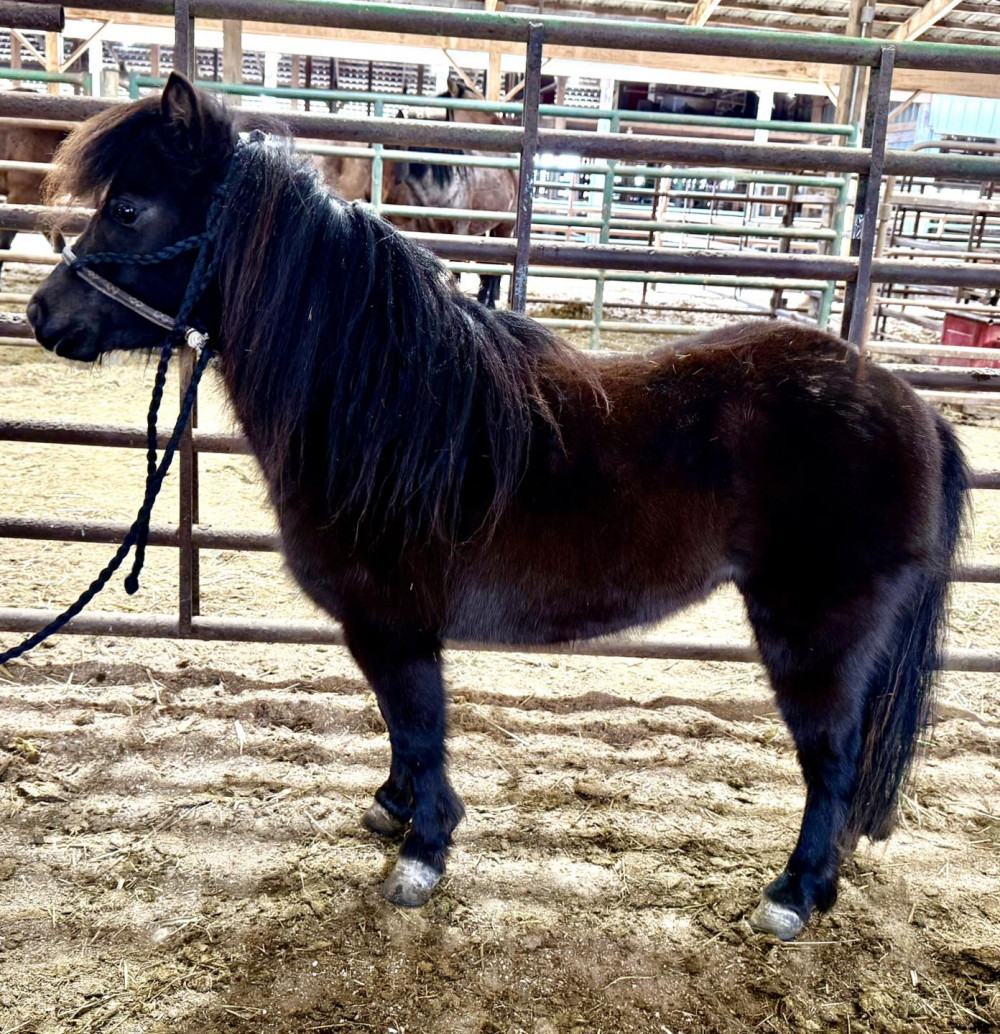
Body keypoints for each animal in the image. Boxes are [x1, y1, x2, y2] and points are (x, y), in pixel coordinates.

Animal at [25, 75, 967, 941]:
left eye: (129, 209)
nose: (40, 314)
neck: (382, 407)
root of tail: (911, 407)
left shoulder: (393, 624)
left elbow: (419, 724)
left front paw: (424, 851)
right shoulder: (384, 629)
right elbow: (401, 727)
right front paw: (395, 809)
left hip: (815, 638)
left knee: (833, 762)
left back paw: (794, 895)